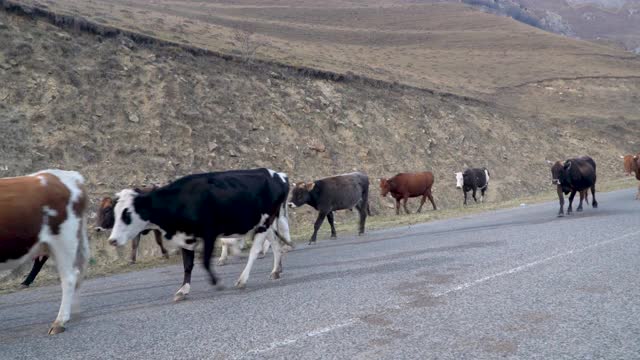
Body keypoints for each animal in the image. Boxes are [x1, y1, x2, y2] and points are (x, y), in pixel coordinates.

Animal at [107, 169, 292, 300]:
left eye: (127, 214)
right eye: (114, 213)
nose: (112, 240)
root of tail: (279, 175)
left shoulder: (209, 233)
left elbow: (204, 261)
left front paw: (217, 282)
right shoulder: (185, 237)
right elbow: (188, 265)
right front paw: (183, 290)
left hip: (264, 223)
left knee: (255, 251)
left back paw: (243, 279)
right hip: (265, 224)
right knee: (275, 243)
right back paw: (276, 270)